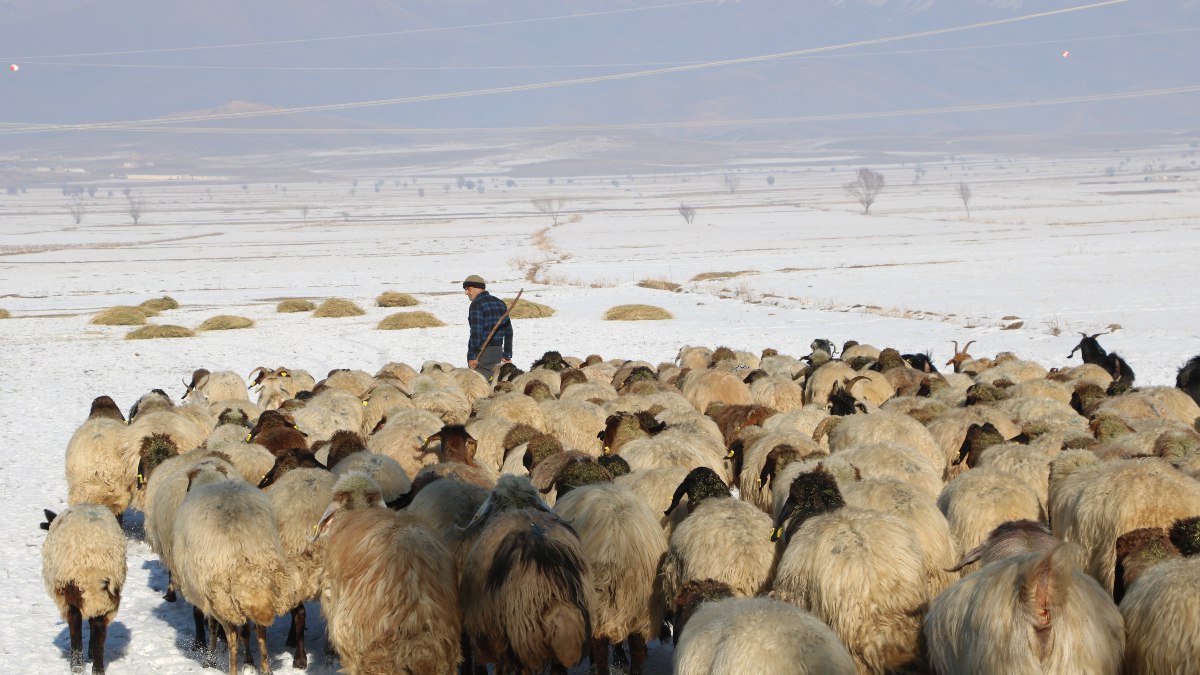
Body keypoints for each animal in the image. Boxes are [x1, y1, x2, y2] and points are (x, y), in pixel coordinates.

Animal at [40, 504, 125, 672]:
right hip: (108, 600)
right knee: (99, 631)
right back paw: (97, 669)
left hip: (71, 592)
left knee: (75, 626)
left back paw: (77, 666)